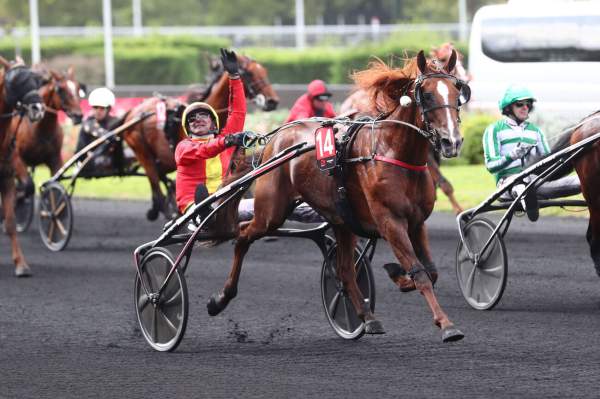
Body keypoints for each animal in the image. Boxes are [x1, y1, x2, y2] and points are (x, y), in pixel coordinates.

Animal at [123, 52, 282, 222]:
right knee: (155, 182)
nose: (272, 101)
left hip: (163, 160)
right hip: (143, 153)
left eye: (264, 71)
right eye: (250, 73)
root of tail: (133, 111)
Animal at [207, 50, 468, 344]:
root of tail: (276, 139)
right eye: (427, 94)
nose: (451, 141)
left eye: (457, 91)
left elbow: (430, 271)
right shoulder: (390, 222)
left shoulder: (417, 222)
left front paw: (399, 277)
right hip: (271, 211)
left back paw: (367, 317)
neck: (394, 152)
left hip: (342, 220)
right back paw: (220, 298)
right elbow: (420, 273)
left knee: (344, 271)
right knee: (242, 235)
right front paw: (447, 325)